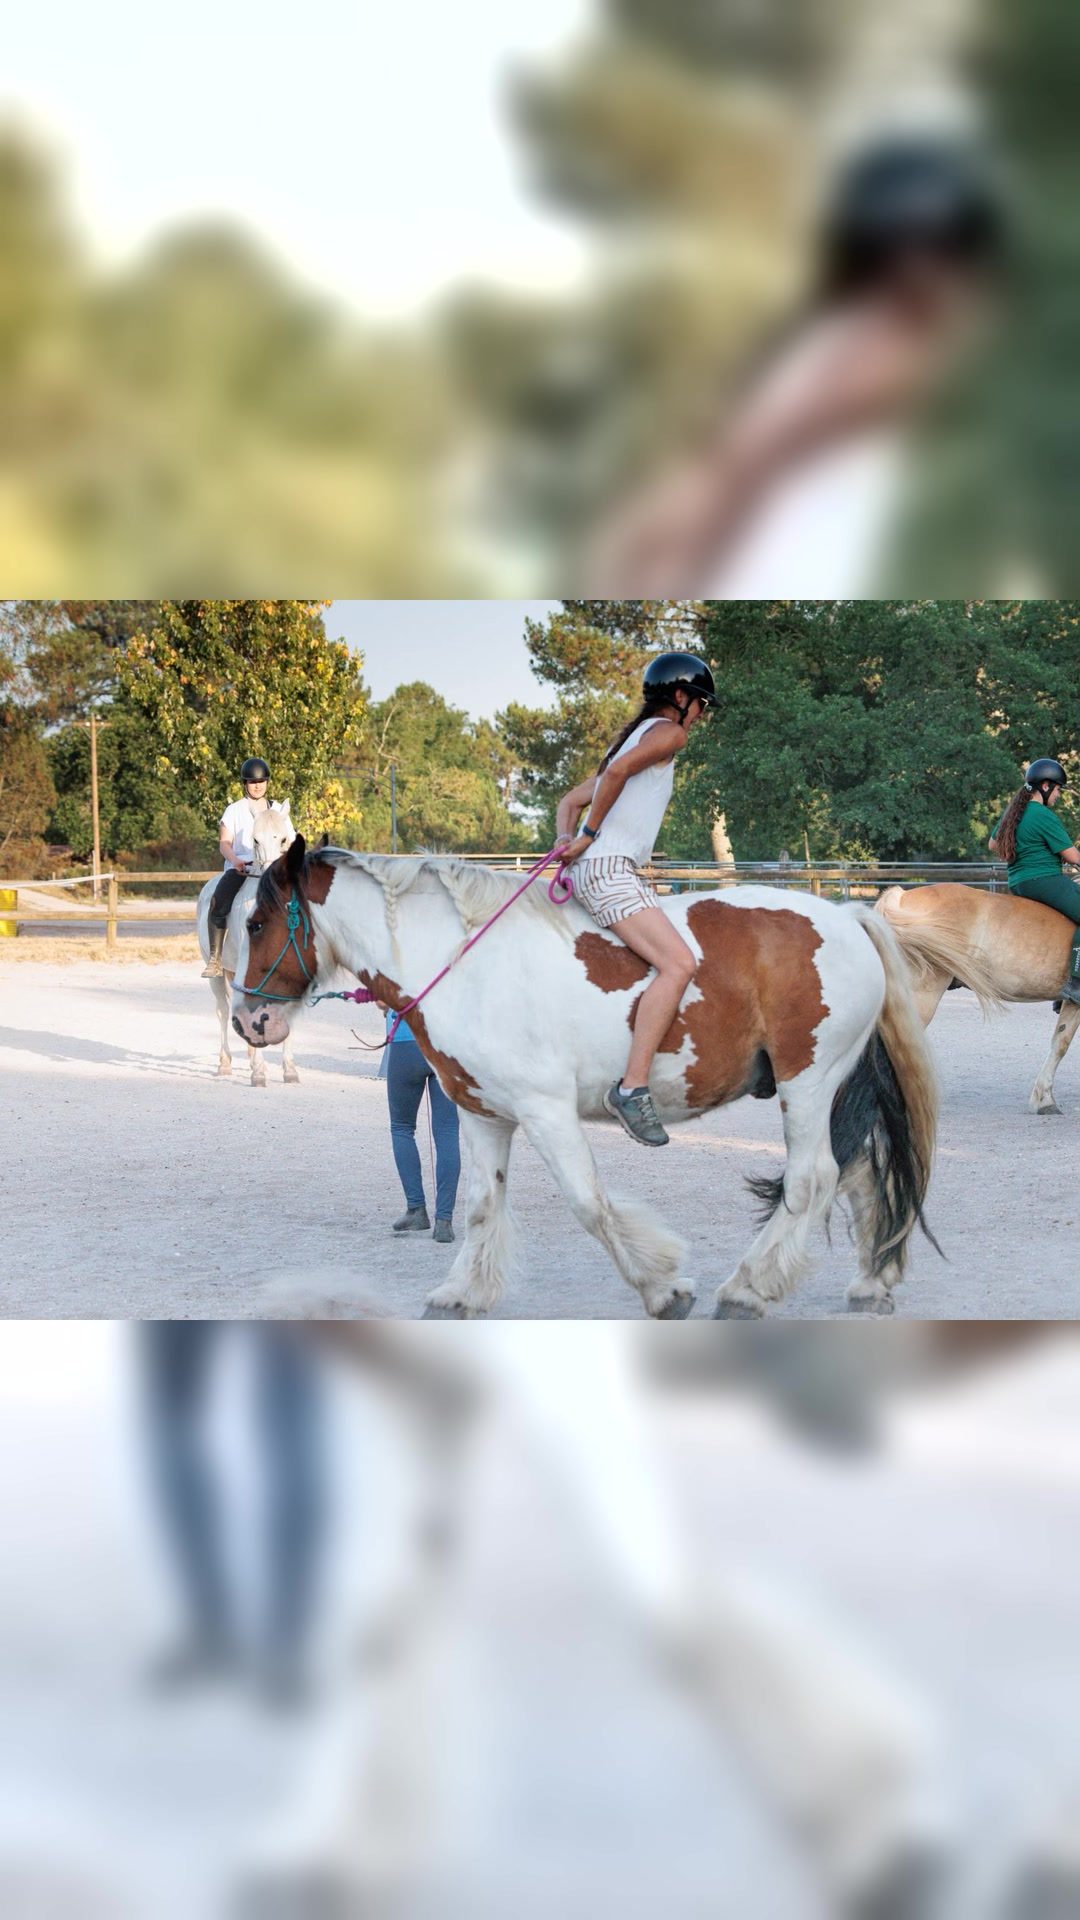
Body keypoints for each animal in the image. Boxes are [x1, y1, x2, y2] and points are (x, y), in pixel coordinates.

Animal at [196, 805, 299, 1088]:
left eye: (284, 839)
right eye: (255, 840)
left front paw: (289, 1070)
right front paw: (259, 1074)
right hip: (217, 972)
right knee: (222, 1011)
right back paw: (225, 1064)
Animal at [230, 836, 940, 1319]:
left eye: (257, 923)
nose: (246, 1021)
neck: (462, 962)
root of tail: (847, 918)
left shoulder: (546, 1112)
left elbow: (589, 1204)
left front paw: (663, 1288)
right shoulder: (483, 1114)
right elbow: (482, 1205)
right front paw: (459, 1294)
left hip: (807, 1084)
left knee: (813, 1179)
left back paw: (747, 1289)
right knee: (860, 1174)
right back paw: (872, 1281)